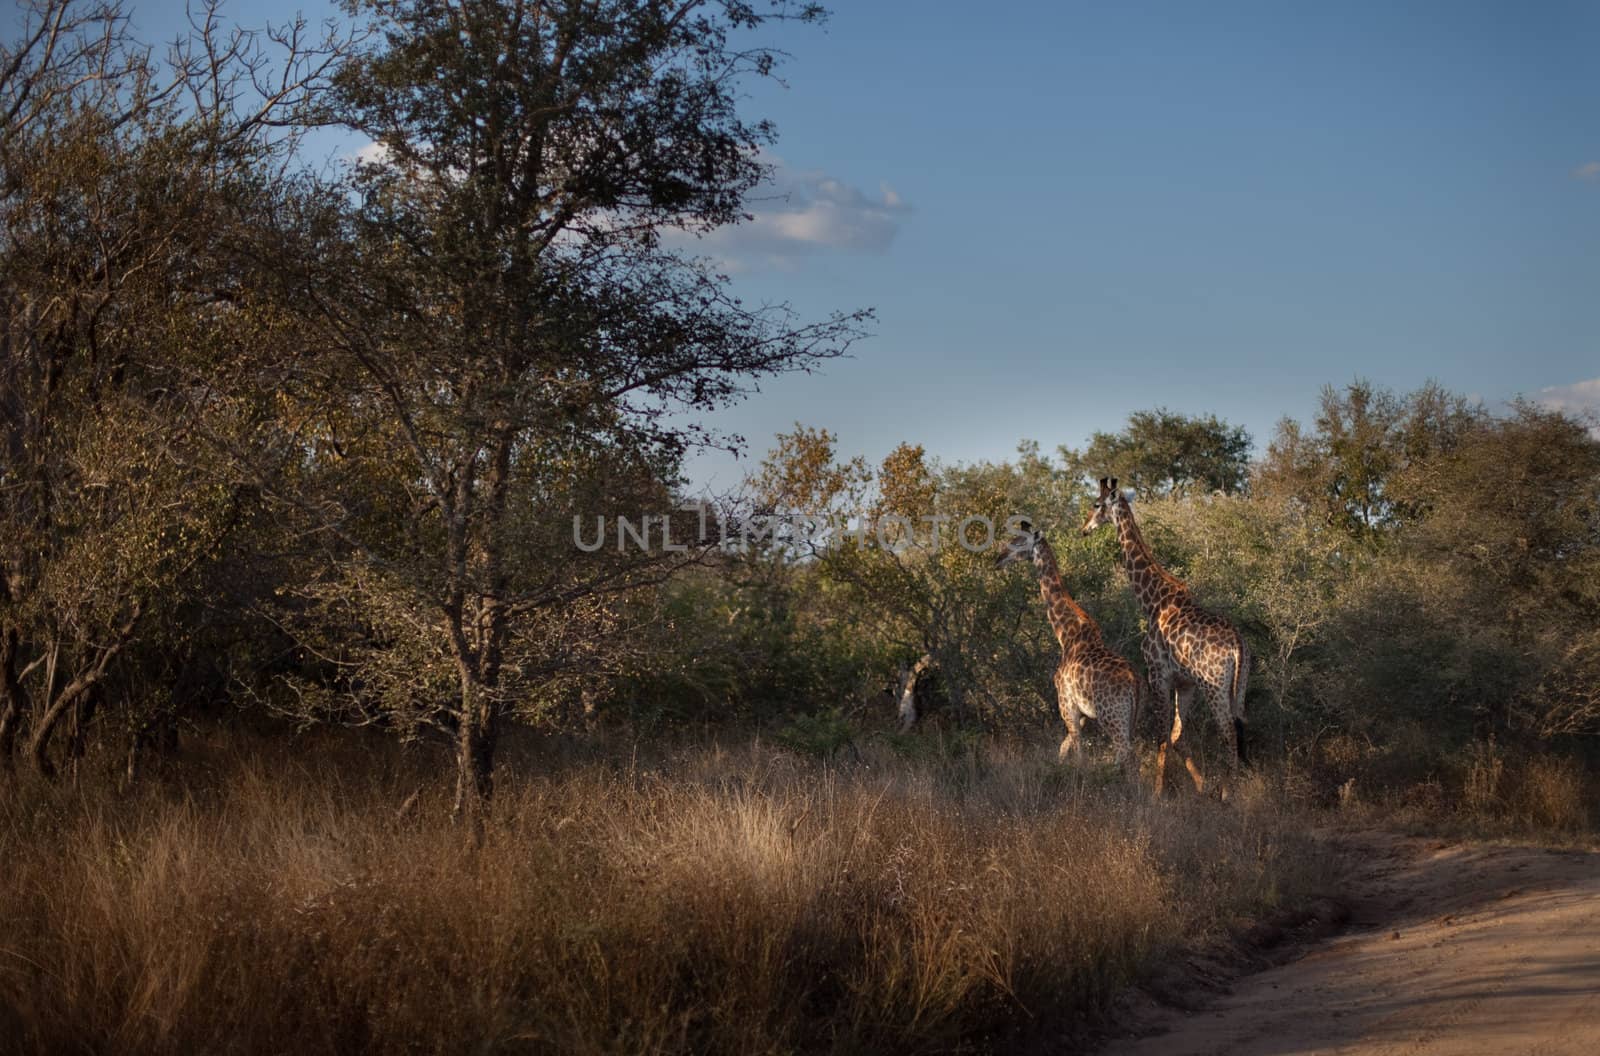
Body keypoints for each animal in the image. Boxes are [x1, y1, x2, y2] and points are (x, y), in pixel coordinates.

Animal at [992, 518, 1145, 774]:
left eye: (1018, 541)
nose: (999, 559)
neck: (1066, 634)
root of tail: (1134, 681)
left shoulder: (1066, 704)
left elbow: (1078, 749)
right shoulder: (1081, 713)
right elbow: (1064, 747)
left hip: (1112, 715)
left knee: (1124, 751)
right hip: (1131, 717)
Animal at [1075, 476, 1248, 793]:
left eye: (1096, 504)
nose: (1084, 529)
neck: (1153, 600)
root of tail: (1239, 646)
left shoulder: (1157, 673)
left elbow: (1161, 736)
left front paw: (1157, 793)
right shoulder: (1184, 682)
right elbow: (1176, 737)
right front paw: (1200, 787)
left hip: (1215, 687)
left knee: (1228, 731)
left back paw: (1229, 793)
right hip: (1236, 686)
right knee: (1240, 725)